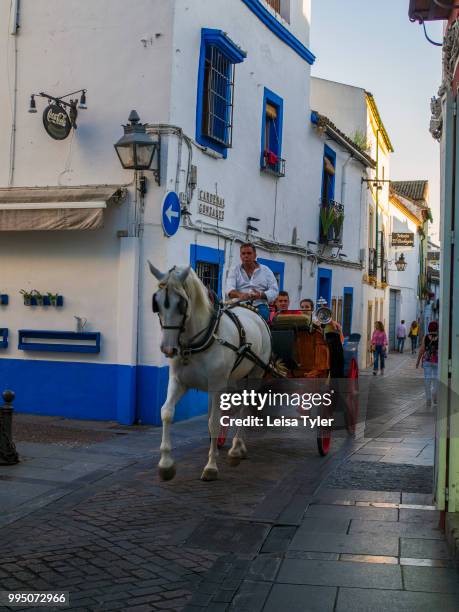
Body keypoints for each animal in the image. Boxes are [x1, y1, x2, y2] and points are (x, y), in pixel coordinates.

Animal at [149, 262, 274, 482]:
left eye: (181, 304)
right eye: (156, 303)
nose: (168, 349)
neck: (199, 340)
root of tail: (252, 310)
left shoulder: (217, 385)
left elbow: (214, 422)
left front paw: (211, 467)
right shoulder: (178, 381)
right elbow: (167, 413)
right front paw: (166, 464)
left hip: (256, 374)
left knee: (245, 409)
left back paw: (236, 449)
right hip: (236, 379)